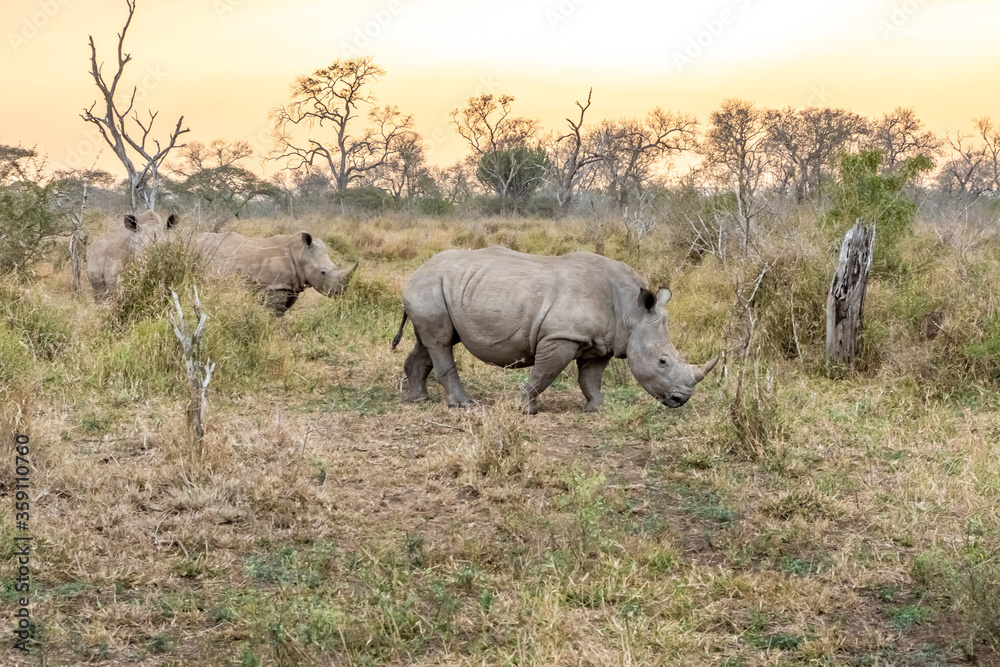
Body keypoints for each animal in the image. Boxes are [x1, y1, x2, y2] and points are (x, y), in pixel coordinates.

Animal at [192, 230, 357, 315]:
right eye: (323, 272)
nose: (341, 293)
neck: (300, 253)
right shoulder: (276, 286)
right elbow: (275, 311)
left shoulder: (291, 286)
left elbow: (283, 310)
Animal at [392, 246, 717, 414]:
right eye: (662, 361)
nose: (680, 400)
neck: (632, 312)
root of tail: (417, 270)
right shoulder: (561, 337)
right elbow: (544, 374)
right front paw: (526, 409)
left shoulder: (600, 342)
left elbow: (590, 378)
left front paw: (596, 408)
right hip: (429, 287)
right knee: (441, 342)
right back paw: (465, 406)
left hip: (437, 289)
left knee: (430, 341)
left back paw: (419, 399)